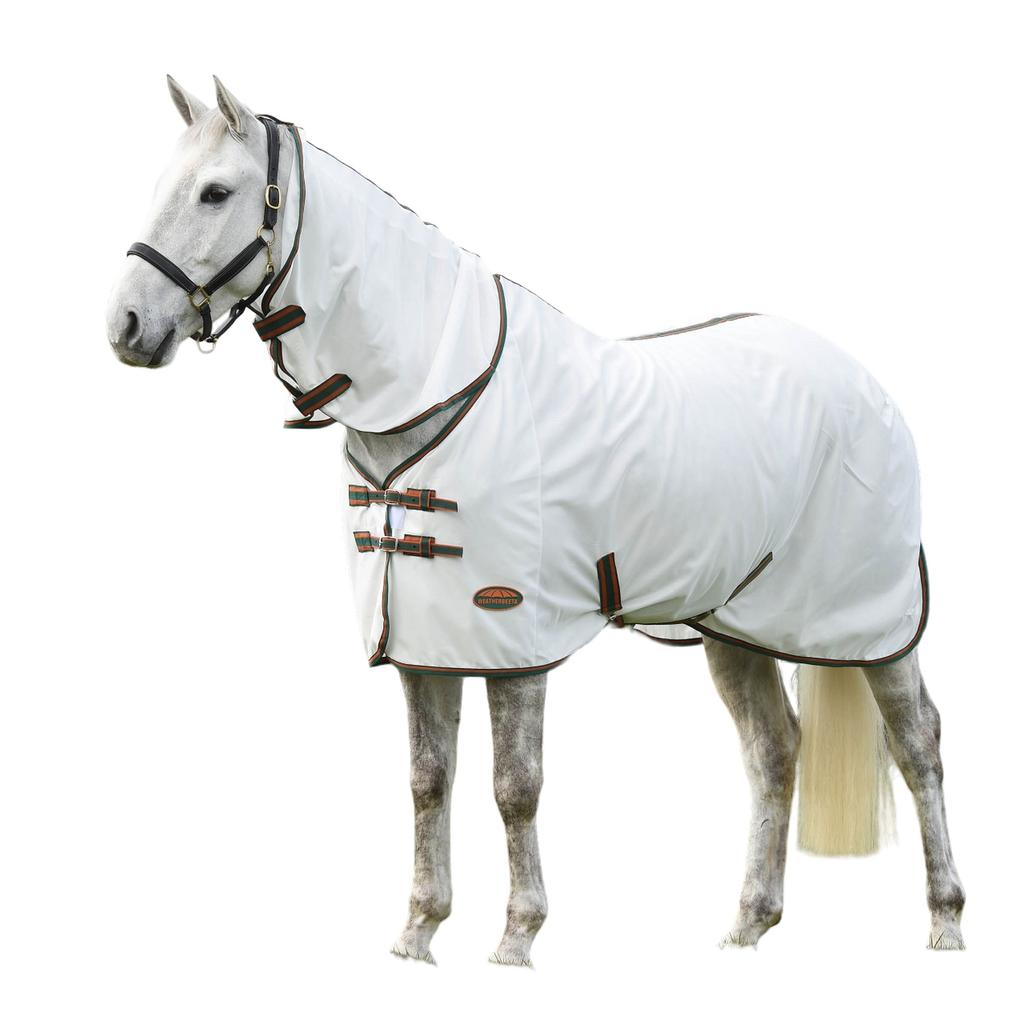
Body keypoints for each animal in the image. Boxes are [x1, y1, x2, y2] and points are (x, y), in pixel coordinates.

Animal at [105, 76, 965, 964]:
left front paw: (516, 938)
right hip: (736, 626)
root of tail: (860, 379)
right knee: (774, 750)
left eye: (215, 192)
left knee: (919, 744)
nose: (126, 327)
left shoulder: (513, 642)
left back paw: (945, 921)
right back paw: (747, 926)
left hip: (873, 623)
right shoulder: (424, 643)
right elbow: (429, 780)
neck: (440, 387)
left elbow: (514, 786)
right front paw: (419, 933)